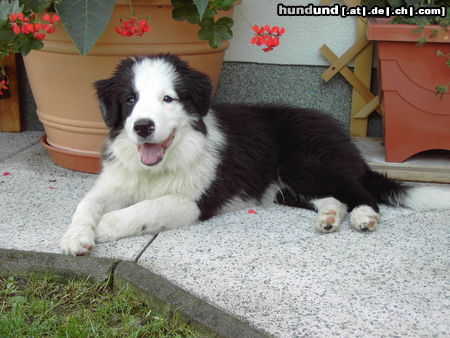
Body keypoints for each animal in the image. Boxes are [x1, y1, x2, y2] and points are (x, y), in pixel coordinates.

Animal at [60, 54, 450, 256]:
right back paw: (329, 217)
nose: (142, 127)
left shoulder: (196, 200)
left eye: (168, 99)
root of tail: (343, 137)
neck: (158, 167)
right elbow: (86, 203)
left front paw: (104, 227)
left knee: (361, 191)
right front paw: (76, 236)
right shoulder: (116, 181)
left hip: (304, 162)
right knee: (331, 197)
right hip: (286, 185)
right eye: (130, 100)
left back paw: (363, 217)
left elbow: (143, 209)